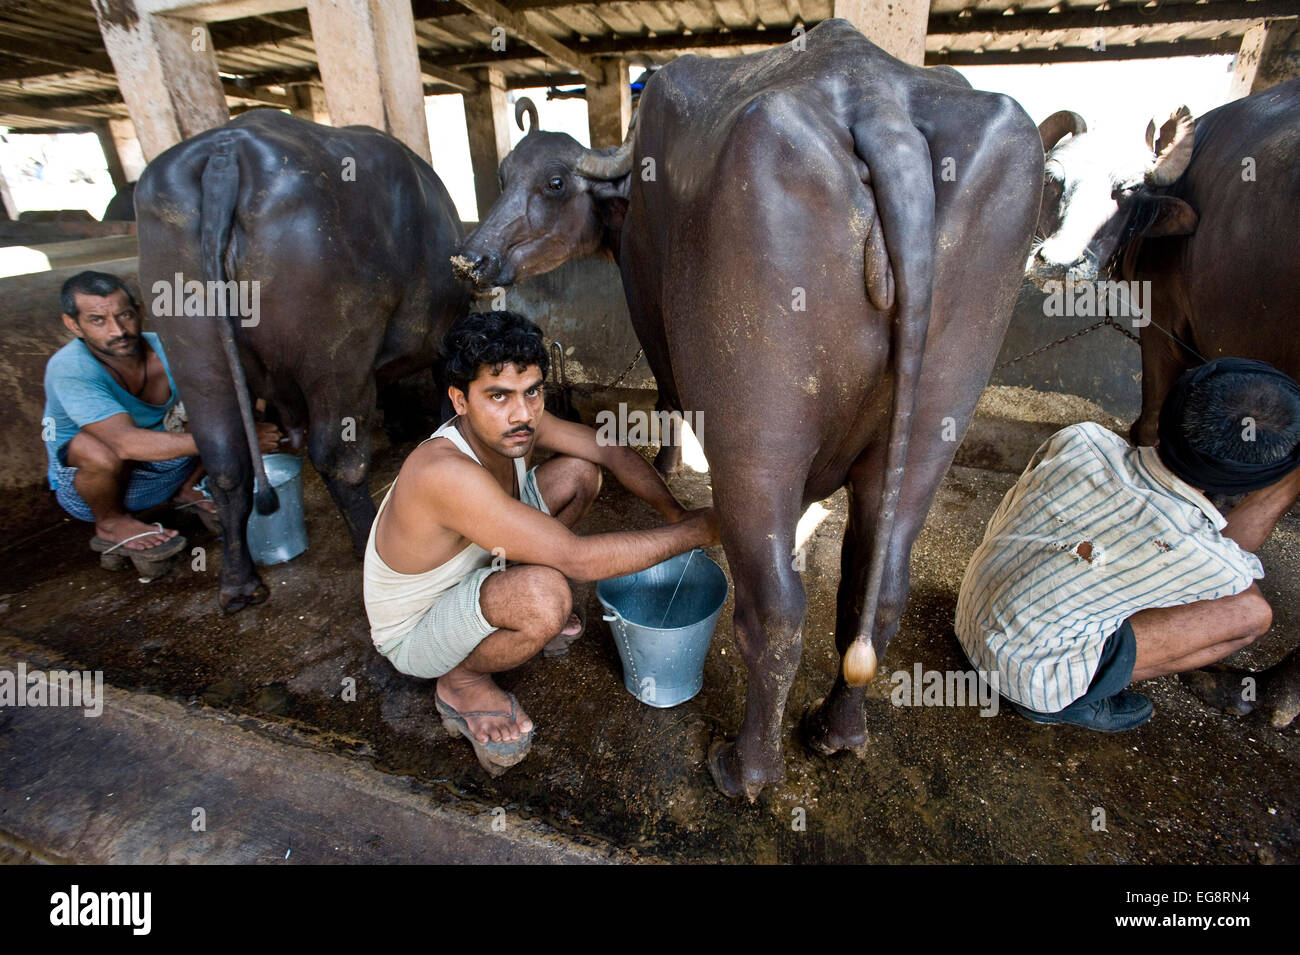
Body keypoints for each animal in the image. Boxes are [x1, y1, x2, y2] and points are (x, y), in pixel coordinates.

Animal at [135, 110, 467, 613]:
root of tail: (226, 151)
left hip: (196, 358)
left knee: (226, 467)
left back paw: (239, 584)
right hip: (336, 357)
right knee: (337, 458)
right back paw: (364, 543)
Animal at [452, 20, 1040, 800]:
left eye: (552, 182)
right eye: (502, 175)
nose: (471, 258)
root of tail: (878, 100)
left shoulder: (653, 317)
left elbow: (668, 393)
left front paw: (667, 464)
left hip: (757, 441)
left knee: (776, 606)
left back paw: (746, 769)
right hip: (932, 424)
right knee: (877, 584)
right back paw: (836, 730)